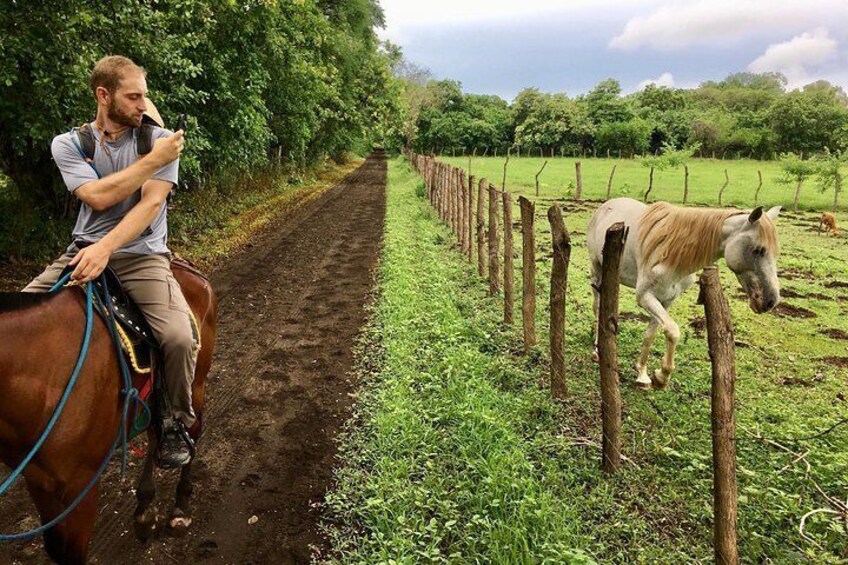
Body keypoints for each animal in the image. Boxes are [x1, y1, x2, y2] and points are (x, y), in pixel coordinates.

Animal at [0, 262, 215, 560]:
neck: (45, 376)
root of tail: (189, 269)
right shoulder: (38, 481)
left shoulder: (81, 488)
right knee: (155, 437)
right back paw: (145, 510)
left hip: (195, 383)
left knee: (192, 428)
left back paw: (180, 509)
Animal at [588, 197, 780, 388]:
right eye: (758, 250)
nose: (771, 301)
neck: (673, 253)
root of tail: (608, 204)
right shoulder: (645, 297)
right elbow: (673, 331)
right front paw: (661, 377)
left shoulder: (666, 300)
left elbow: (651, 335)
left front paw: (642, 373)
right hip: (597, 271)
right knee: (597, 307)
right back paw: (597, 350)